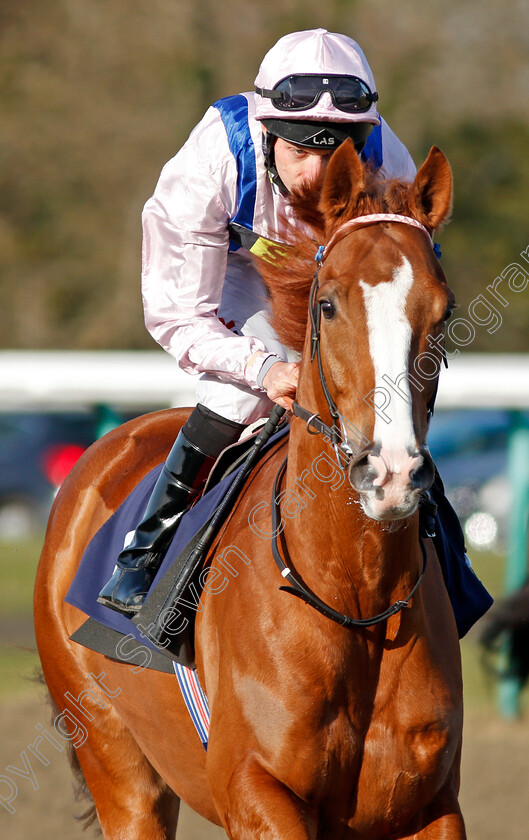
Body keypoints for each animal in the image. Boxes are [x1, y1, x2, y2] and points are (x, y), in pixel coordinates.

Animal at [33, 141, 464, 836]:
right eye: (327, 304)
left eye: (443, 309)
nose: (392, 473)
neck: (354, 593)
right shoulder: (255, 789)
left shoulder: (429, 803)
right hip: (117, 764)